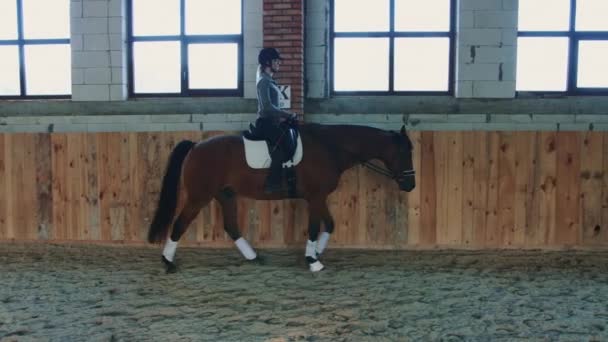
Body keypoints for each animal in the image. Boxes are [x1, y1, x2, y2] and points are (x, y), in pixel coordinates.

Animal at [145, 121, 416, 274]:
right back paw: (168, 263)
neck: (330, 147)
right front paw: (312, 261)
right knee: (180, 224)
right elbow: (315, 227)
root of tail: (196, 146)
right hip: (199, 197)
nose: (410, 185)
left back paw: (254, 257)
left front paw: (316, 252)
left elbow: (330, 224)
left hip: (226, 195)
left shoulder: (318, 197)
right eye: (404, 152)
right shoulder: (315, 197)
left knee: (231, 226)